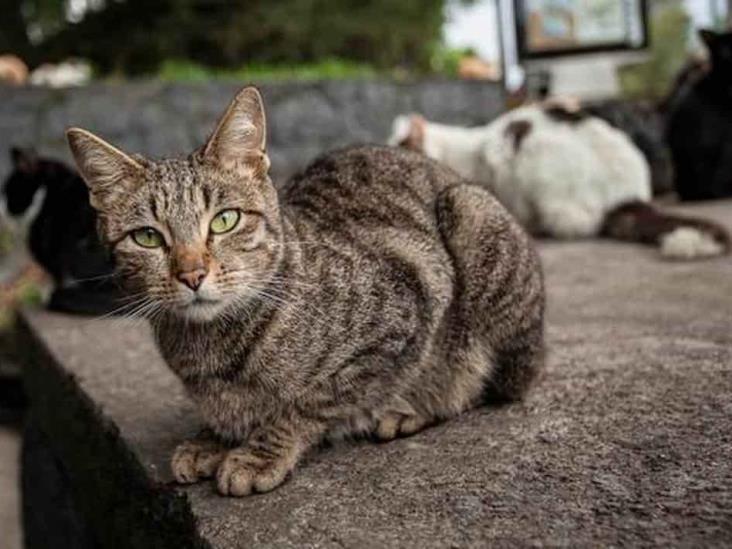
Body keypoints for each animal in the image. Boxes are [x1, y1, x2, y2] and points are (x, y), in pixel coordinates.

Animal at [64, 85, 544, 496]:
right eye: (147, 237)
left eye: (224, 220)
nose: (192, 274)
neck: (210, 349)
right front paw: (213, 438)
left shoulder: (403, 311)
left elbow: (310, 403)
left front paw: (258, 453)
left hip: (471, 217)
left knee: (485, 382)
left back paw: (411, 409)